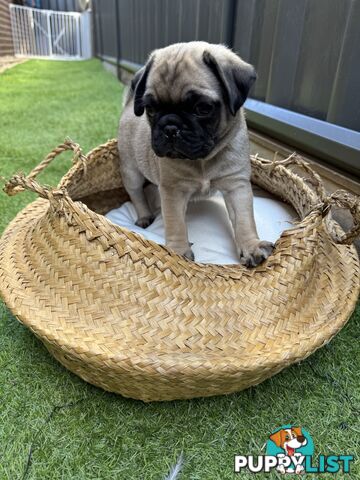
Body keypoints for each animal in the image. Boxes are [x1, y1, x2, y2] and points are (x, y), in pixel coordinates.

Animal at [118, 41, 272, 266]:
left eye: (202, 108)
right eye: (151, 109)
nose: (170, 127)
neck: (202, 160)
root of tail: (130, 105)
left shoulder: (236, 185)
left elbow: (244, 220)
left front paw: (251, 246)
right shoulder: (173, 190)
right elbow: (175, 223)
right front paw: (177, 251)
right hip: (131, 172)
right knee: (137, 193)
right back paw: (144, 215)